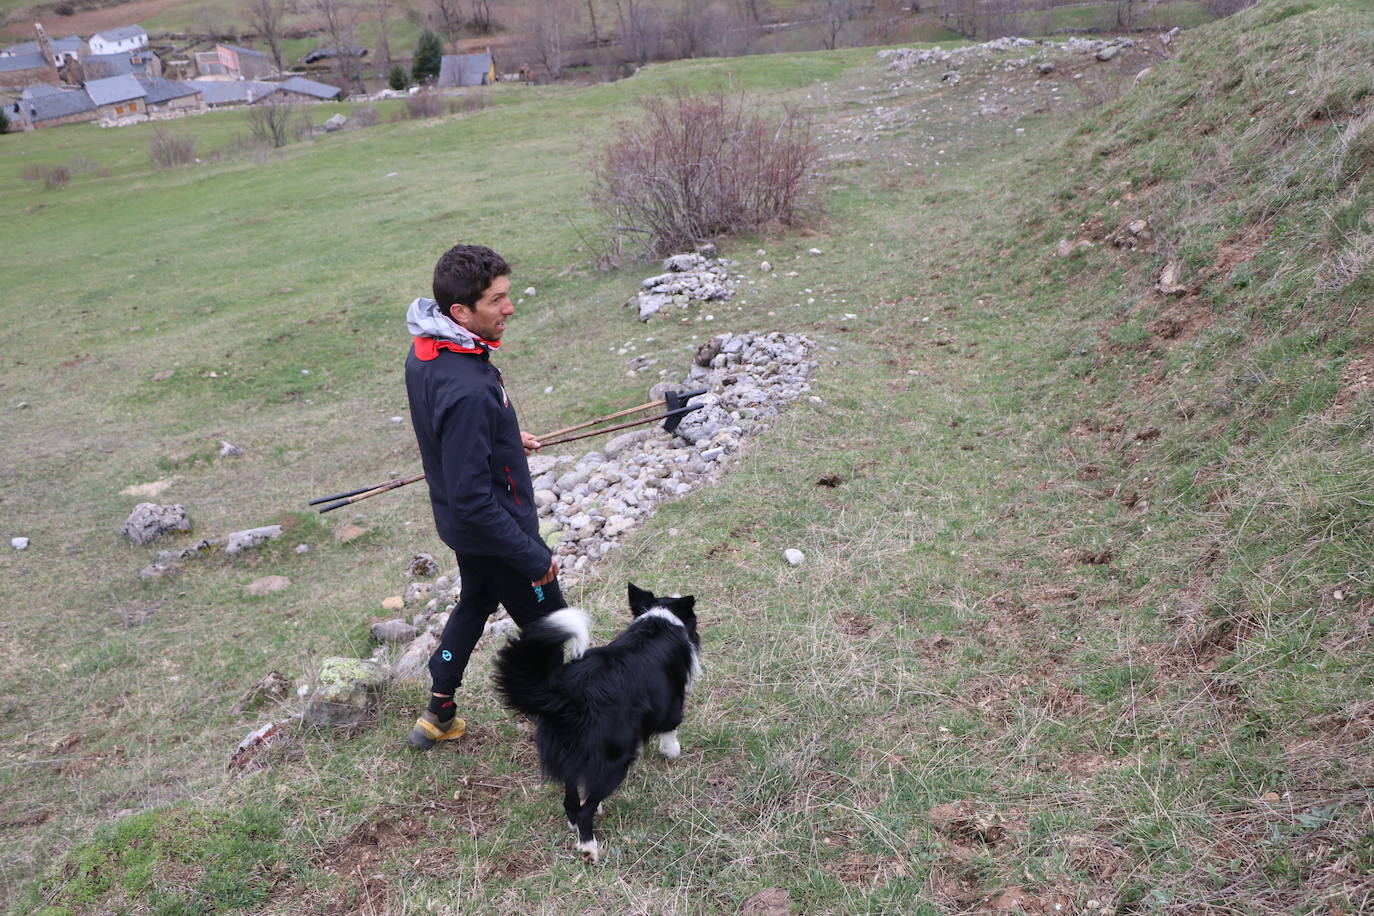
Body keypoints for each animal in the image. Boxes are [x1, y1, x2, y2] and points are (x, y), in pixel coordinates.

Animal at [494, 585, 703, 862]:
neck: (660, 621)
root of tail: (567, 699)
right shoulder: (671, 703)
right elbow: (671, 730)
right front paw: (672, 752)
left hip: (568, 753)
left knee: (571, 799)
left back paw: (576, 822)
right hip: (616, 760)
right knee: (586, 810)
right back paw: (589, 847)